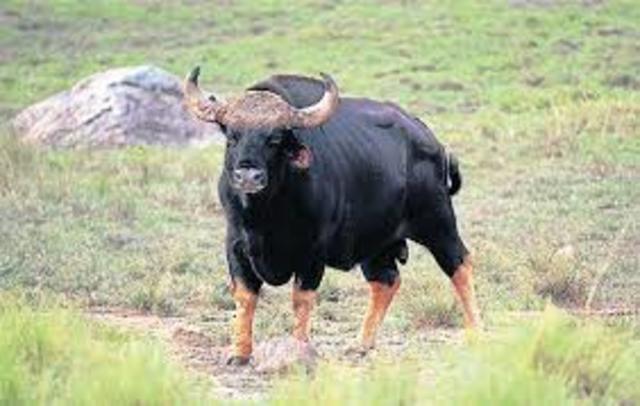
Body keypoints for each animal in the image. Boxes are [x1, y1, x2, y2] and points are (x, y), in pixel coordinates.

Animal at [183, 67, 481, 365]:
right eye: (232, 136)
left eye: (275, 139)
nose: (248, 176)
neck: (265, 215)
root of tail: (432, 142)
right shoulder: (236, 245)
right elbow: (245, 296)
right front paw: (240, 353)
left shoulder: (312, 253)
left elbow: (301, 299)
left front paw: (299, 349)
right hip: (377, 243)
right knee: (386, 280)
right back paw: (362, 343)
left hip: (438, 223)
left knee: (460, 265)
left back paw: (475, 332)